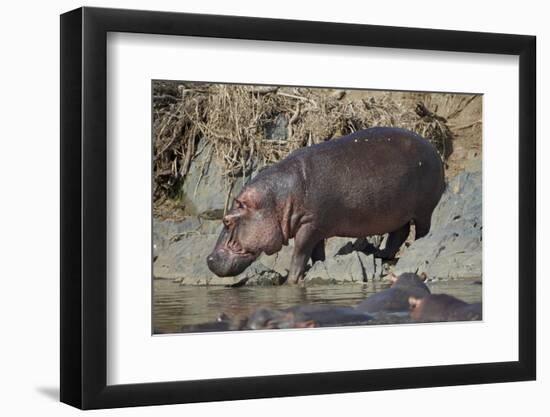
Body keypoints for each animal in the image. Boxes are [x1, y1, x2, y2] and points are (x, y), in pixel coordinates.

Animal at [208, 127, 448, 282]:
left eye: (227, 220)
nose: (209, 259)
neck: (276, 200)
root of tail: (433, 148)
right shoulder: (318, 227)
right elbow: (317, 253)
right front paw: (317, 268)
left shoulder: (309, 225)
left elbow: (300, 252)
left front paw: (291, 280)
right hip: (398, 212)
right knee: (399, 233)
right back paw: (381, 255)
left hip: (423, 209)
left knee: (421, 230)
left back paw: (416, 247)